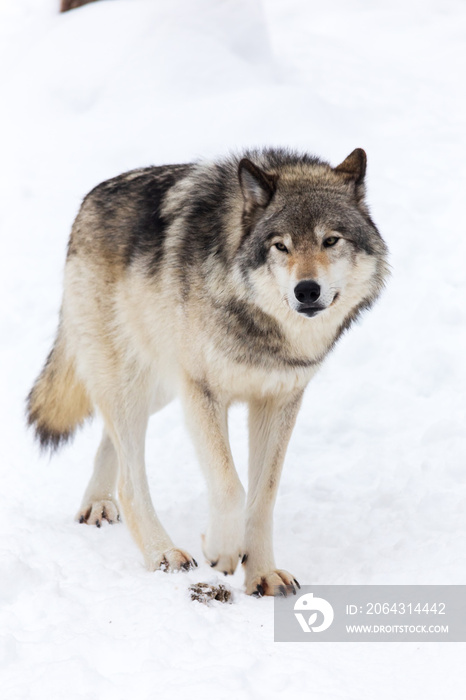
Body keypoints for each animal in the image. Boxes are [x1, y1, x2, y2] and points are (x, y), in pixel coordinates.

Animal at [26, 148, 390, 596]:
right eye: (280, 246)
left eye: (330, 240)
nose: (306, 291)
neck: (260, 325)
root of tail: (88, 202)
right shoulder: (202, 393)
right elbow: (231, 486)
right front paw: (223, 551)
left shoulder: (278, 400)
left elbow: (263, 496)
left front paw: (263, 574)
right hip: (135, 381)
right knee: (131, 477)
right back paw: (163, 553)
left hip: (159, 387)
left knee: (112, 441)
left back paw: (96, 504)